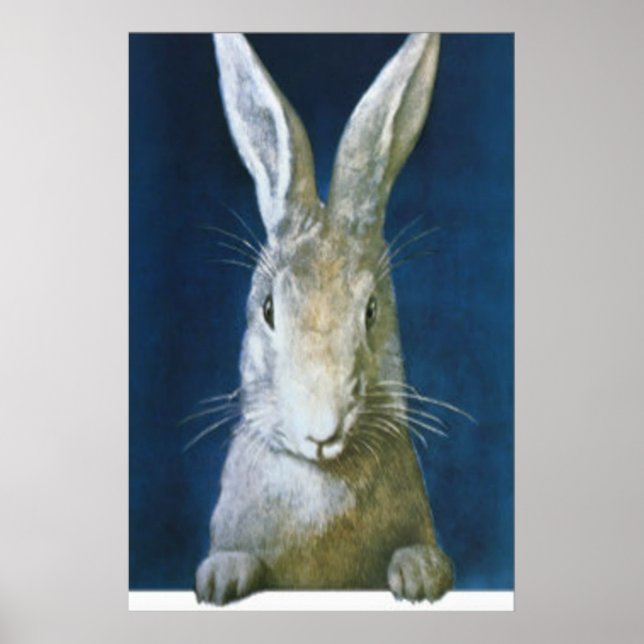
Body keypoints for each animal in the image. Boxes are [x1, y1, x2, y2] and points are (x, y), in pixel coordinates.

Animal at [195, 32, 454, 606]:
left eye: (371, 310)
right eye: (269, 308)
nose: (321, 428)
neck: (321, 474)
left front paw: (421, 575)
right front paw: (219, 579)